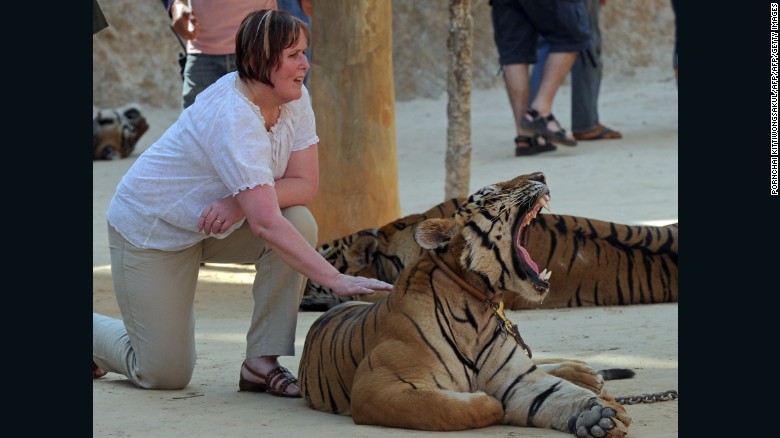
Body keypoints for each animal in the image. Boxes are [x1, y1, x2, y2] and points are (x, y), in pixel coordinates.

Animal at [298, 172, 632, 434]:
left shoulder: (516, 378)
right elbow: (444, 409)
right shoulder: (377, 386)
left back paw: (584, 374)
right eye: (492, 192)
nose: (541, 175)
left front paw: (596, 413)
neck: (480, 307)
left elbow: (556, 393)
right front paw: (488, 400)